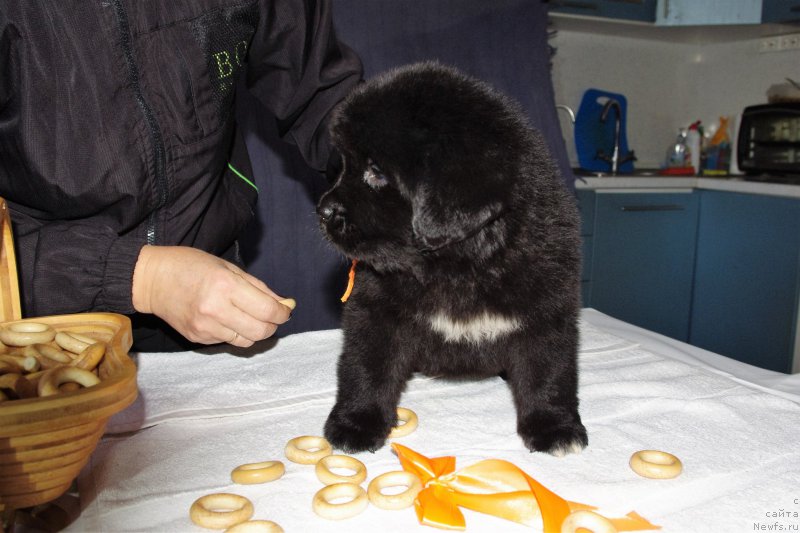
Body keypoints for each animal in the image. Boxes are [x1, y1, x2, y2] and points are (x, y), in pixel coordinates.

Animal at [318, 61, 588, 454]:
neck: (457, 267)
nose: (322, 211)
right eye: (343, 165)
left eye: (376, 172)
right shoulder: (375, 310)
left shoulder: (547, 312)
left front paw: (555, 428)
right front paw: (357, 423)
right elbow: (366, 365)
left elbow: (549, 372)